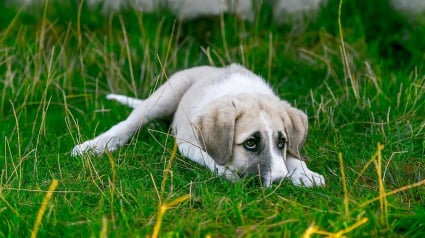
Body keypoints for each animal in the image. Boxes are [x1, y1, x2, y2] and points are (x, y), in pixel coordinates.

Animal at [72, 64, 324, 187]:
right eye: (251, 143)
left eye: (282, 142)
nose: (281, 182)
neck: (244, 93)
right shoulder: (187, 141)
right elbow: (212, 158)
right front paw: (228, 173)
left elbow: (293, 155)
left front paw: (304, 173)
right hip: (166, 94)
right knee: (129, 122)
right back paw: (95, 145)